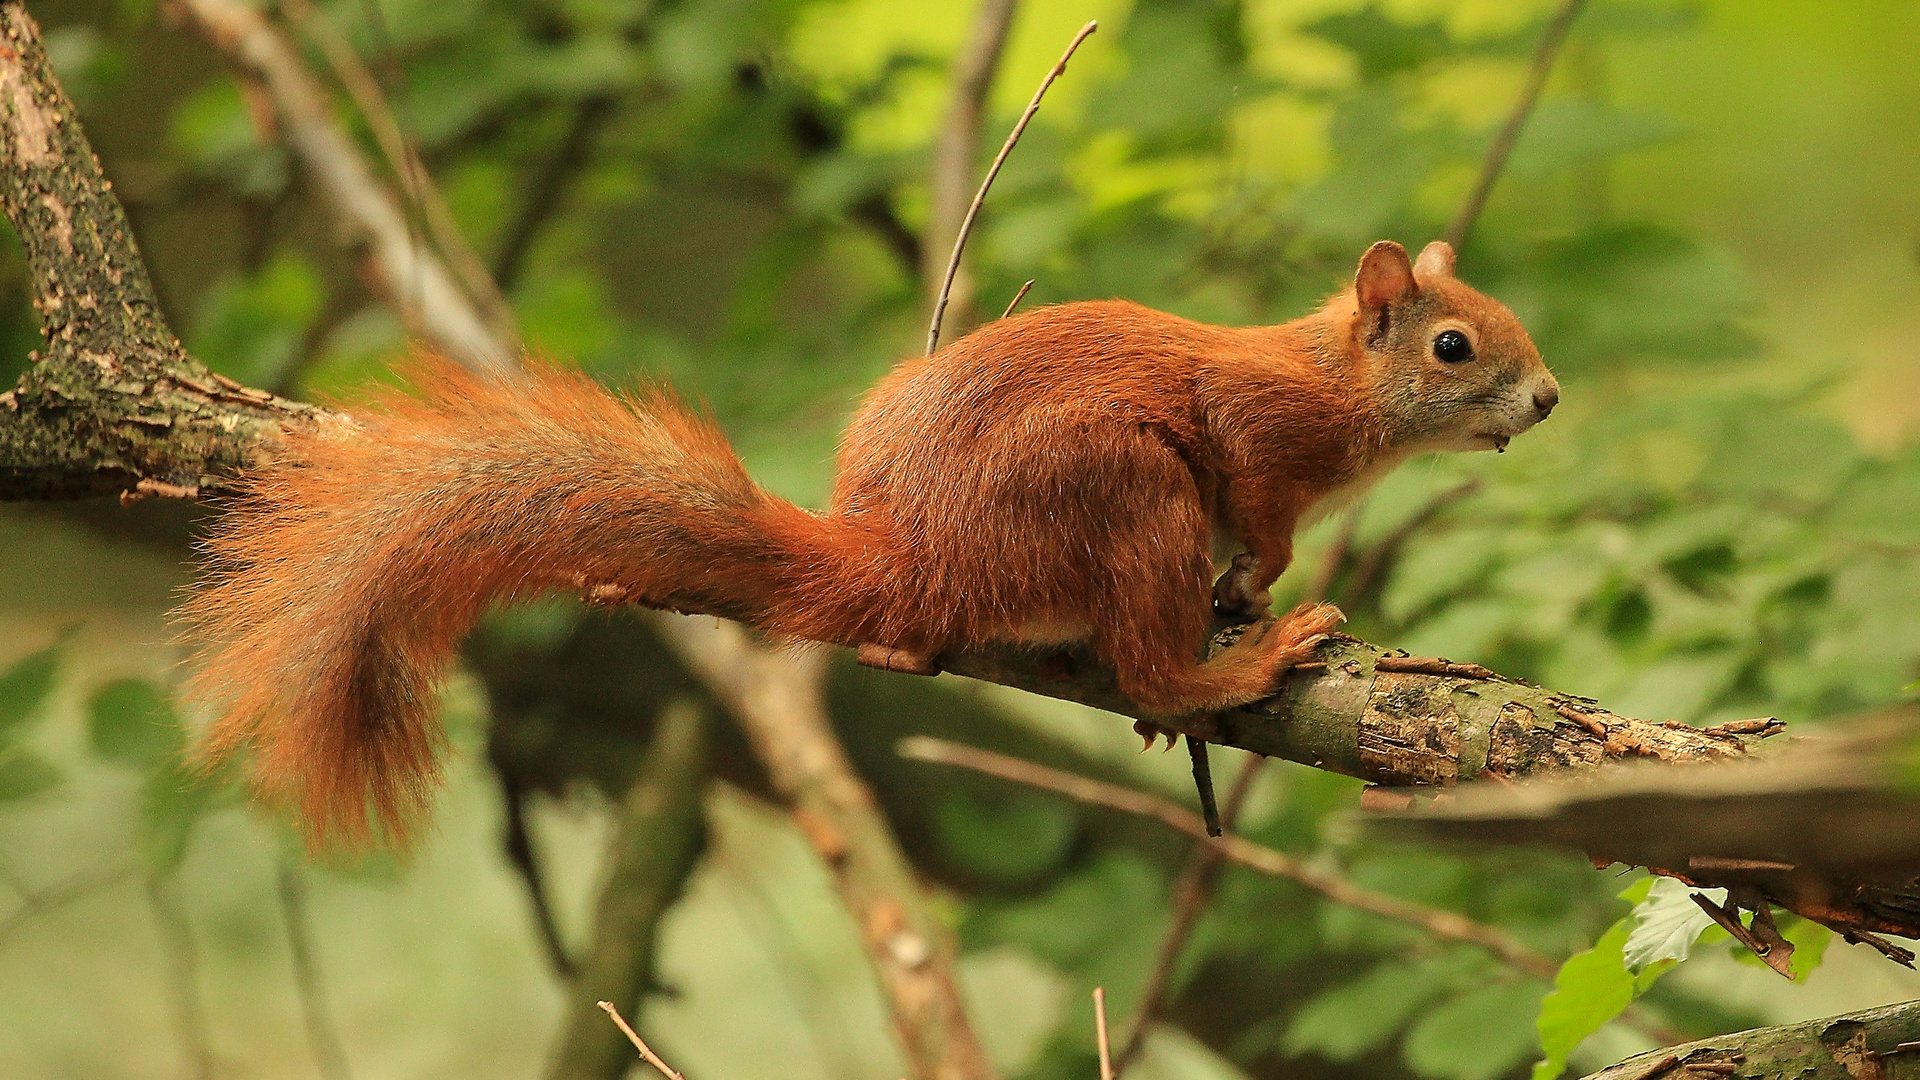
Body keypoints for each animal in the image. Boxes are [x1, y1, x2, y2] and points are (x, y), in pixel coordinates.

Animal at [180, 237, 1559, 841]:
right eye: (1454, 346)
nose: (1546, 400)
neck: (1342, 392)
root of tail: (907, 553)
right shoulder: (1256, 434)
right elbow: (1258, 515)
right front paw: (1266, 583)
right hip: (1119, 490)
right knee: (1149, 661)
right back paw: (1243, 659)